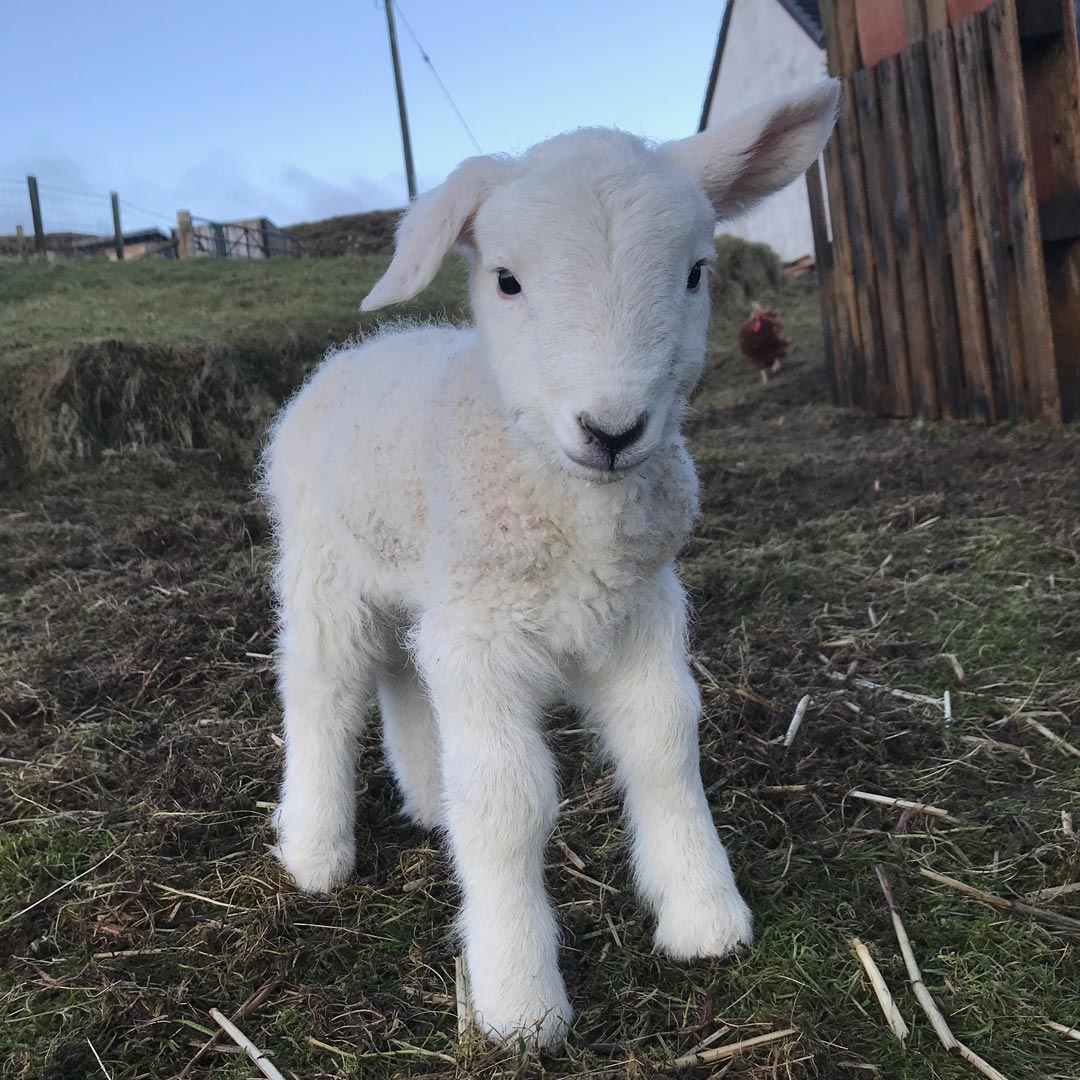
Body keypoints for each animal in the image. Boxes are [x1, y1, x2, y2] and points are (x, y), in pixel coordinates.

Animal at [259, 78, 840, 1048]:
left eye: (696, 272)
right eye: (506, 279)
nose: (611, 430)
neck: (582, 524)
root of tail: (355, 355)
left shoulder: (642, 610)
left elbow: (665, 745)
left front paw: (705, 917)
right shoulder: (484, 637)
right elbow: (507, 802)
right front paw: (518, 1004)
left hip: (418, 585)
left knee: (401, 676)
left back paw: (427, 800)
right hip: (323, 569)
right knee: (322, 692)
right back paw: (313, 851)